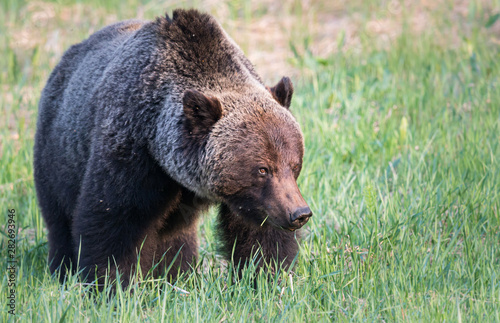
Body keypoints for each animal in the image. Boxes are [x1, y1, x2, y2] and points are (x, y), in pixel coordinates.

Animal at [34, 8, 308, 286]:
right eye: (262, 169)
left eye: (294, 164)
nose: (300, 213)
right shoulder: (131, 154)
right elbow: (113, 221)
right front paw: (112, 282)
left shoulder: (250, 200)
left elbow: (259, 234)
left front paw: (267, 276)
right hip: (59, 154)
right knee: (59, 219)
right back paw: (62, 269)